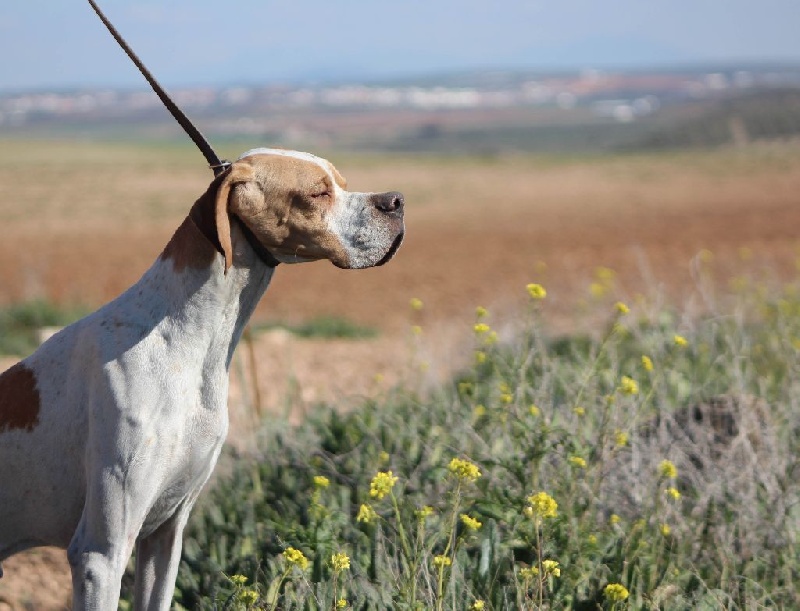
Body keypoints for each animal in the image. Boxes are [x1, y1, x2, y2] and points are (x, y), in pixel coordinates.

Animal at [0, 148, 404, 611]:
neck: (180, 342)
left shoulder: (165, 535)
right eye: (318, 192)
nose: (396, 201)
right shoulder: (100, 553)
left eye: (341, 182)